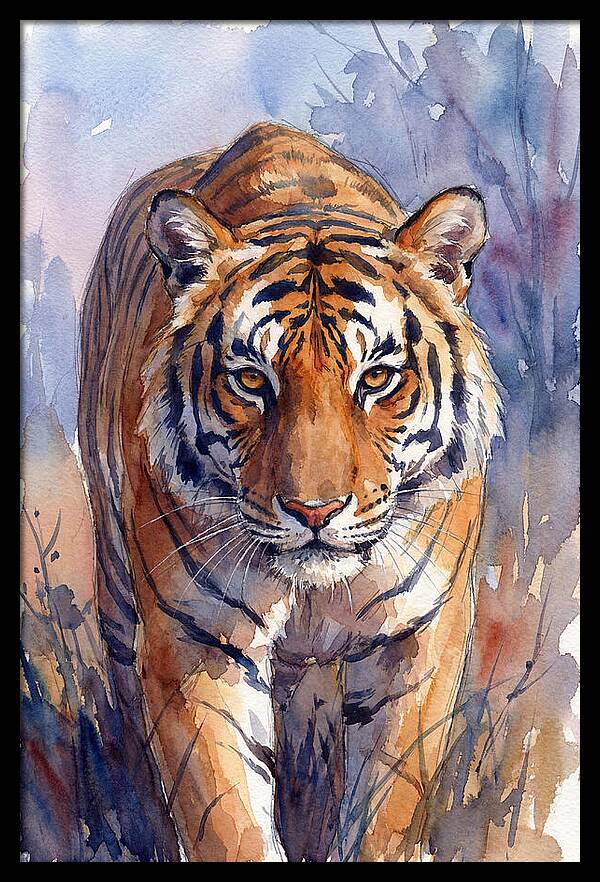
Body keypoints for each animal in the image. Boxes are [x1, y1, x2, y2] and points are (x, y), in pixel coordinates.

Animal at [78, 122, 501, 862]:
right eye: (251, 380)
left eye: (377, 378)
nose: (314, 511)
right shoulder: (197, 641)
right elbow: (227, 819)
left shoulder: (420, 637)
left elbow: (387, 803)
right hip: (116, 581)